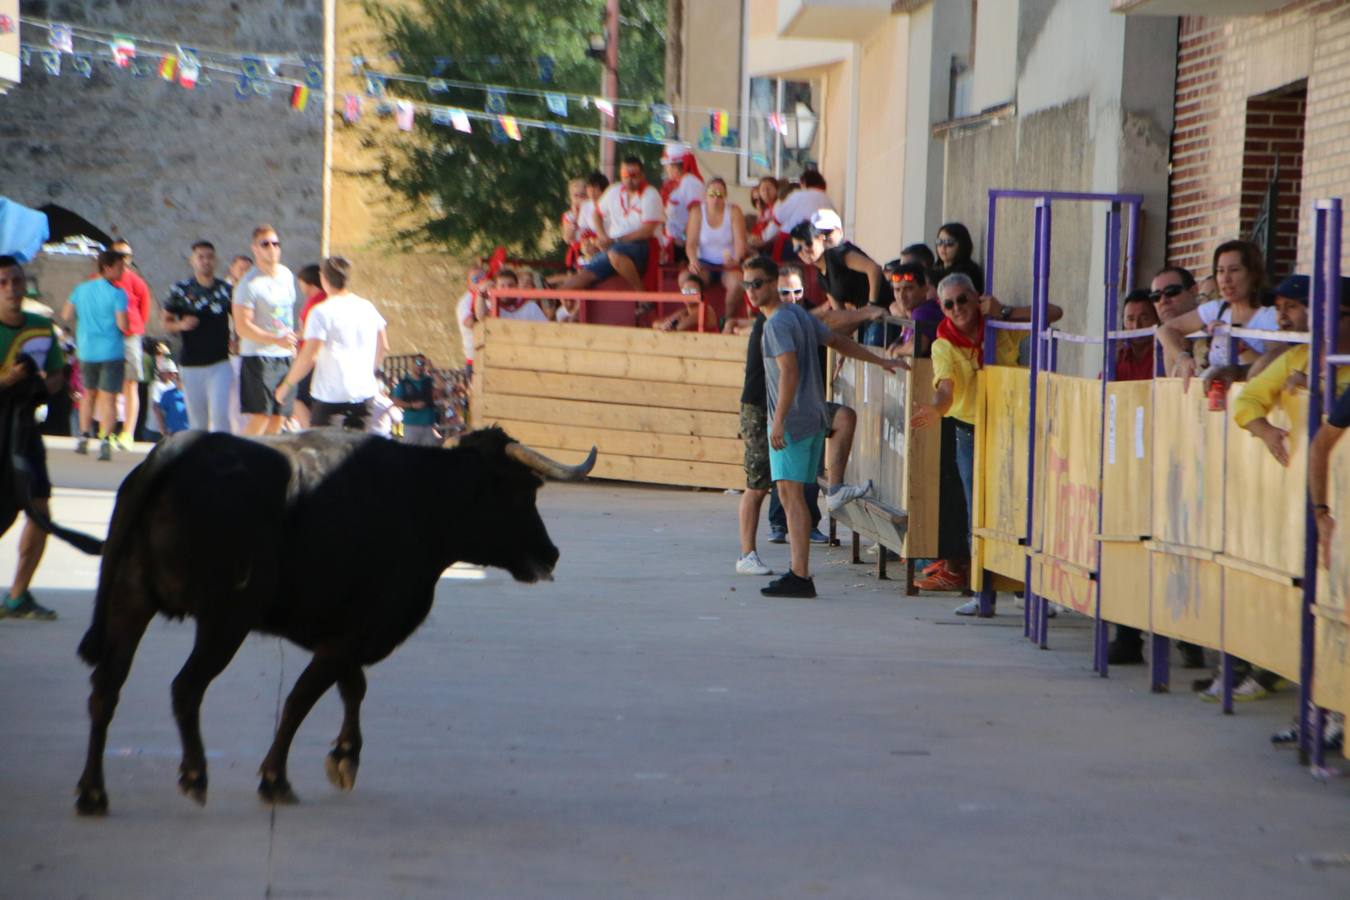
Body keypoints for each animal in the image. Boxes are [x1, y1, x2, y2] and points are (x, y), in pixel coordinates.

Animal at [71, 423, 594, 814]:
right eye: (525, 492)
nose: (552, 554)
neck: (424, 502)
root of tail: (177, 449)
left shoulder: (343, 632)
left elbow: (350, 687)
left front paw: (343, 757)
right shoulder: (356, 632)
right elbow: (303, 697)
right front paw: (277, 778)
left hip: (130, 600)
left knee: (105, 691)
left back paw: (93, 793)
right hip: (224, 621)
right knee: (185, 688)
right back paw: (195, 775)